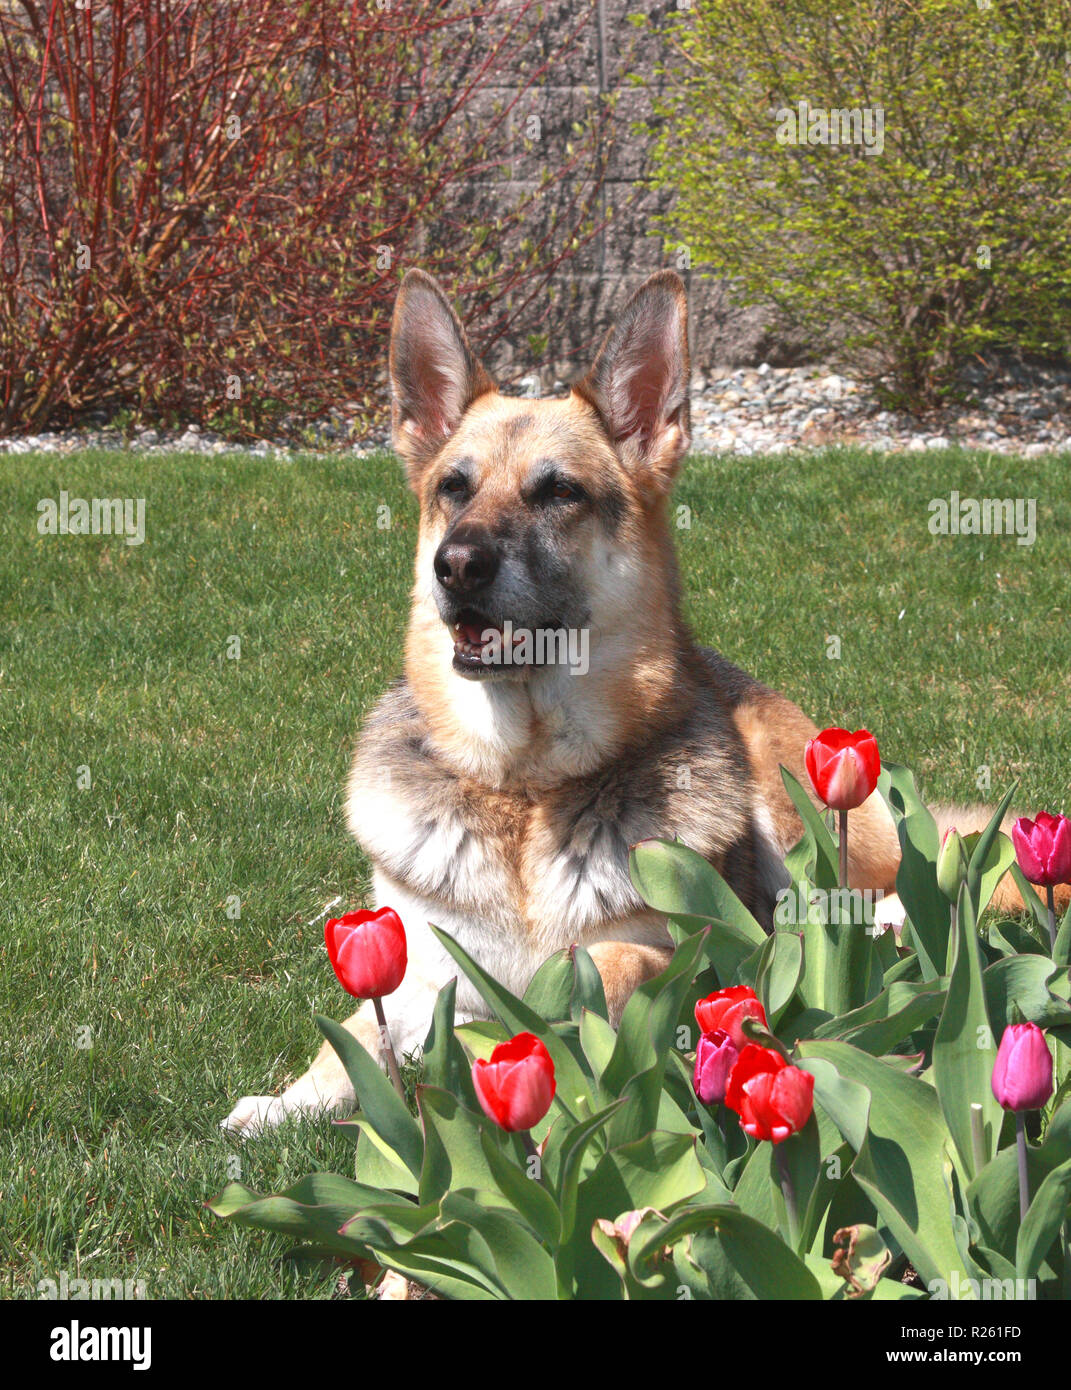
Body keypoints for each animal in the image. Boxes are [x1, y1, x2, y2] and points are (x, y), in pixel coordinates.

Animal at [219, 265, 1027, 1134]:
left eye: (558, 493)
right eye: (452, 488)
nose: (455, 565)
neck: (526, 786)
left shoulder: (684, 951)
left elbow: (600, 965)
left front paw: (530, 1024)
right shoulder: (412, 970)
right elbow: (353, 1038)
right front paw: (287, 1101)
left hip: (792, 792)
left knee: (888, 888)